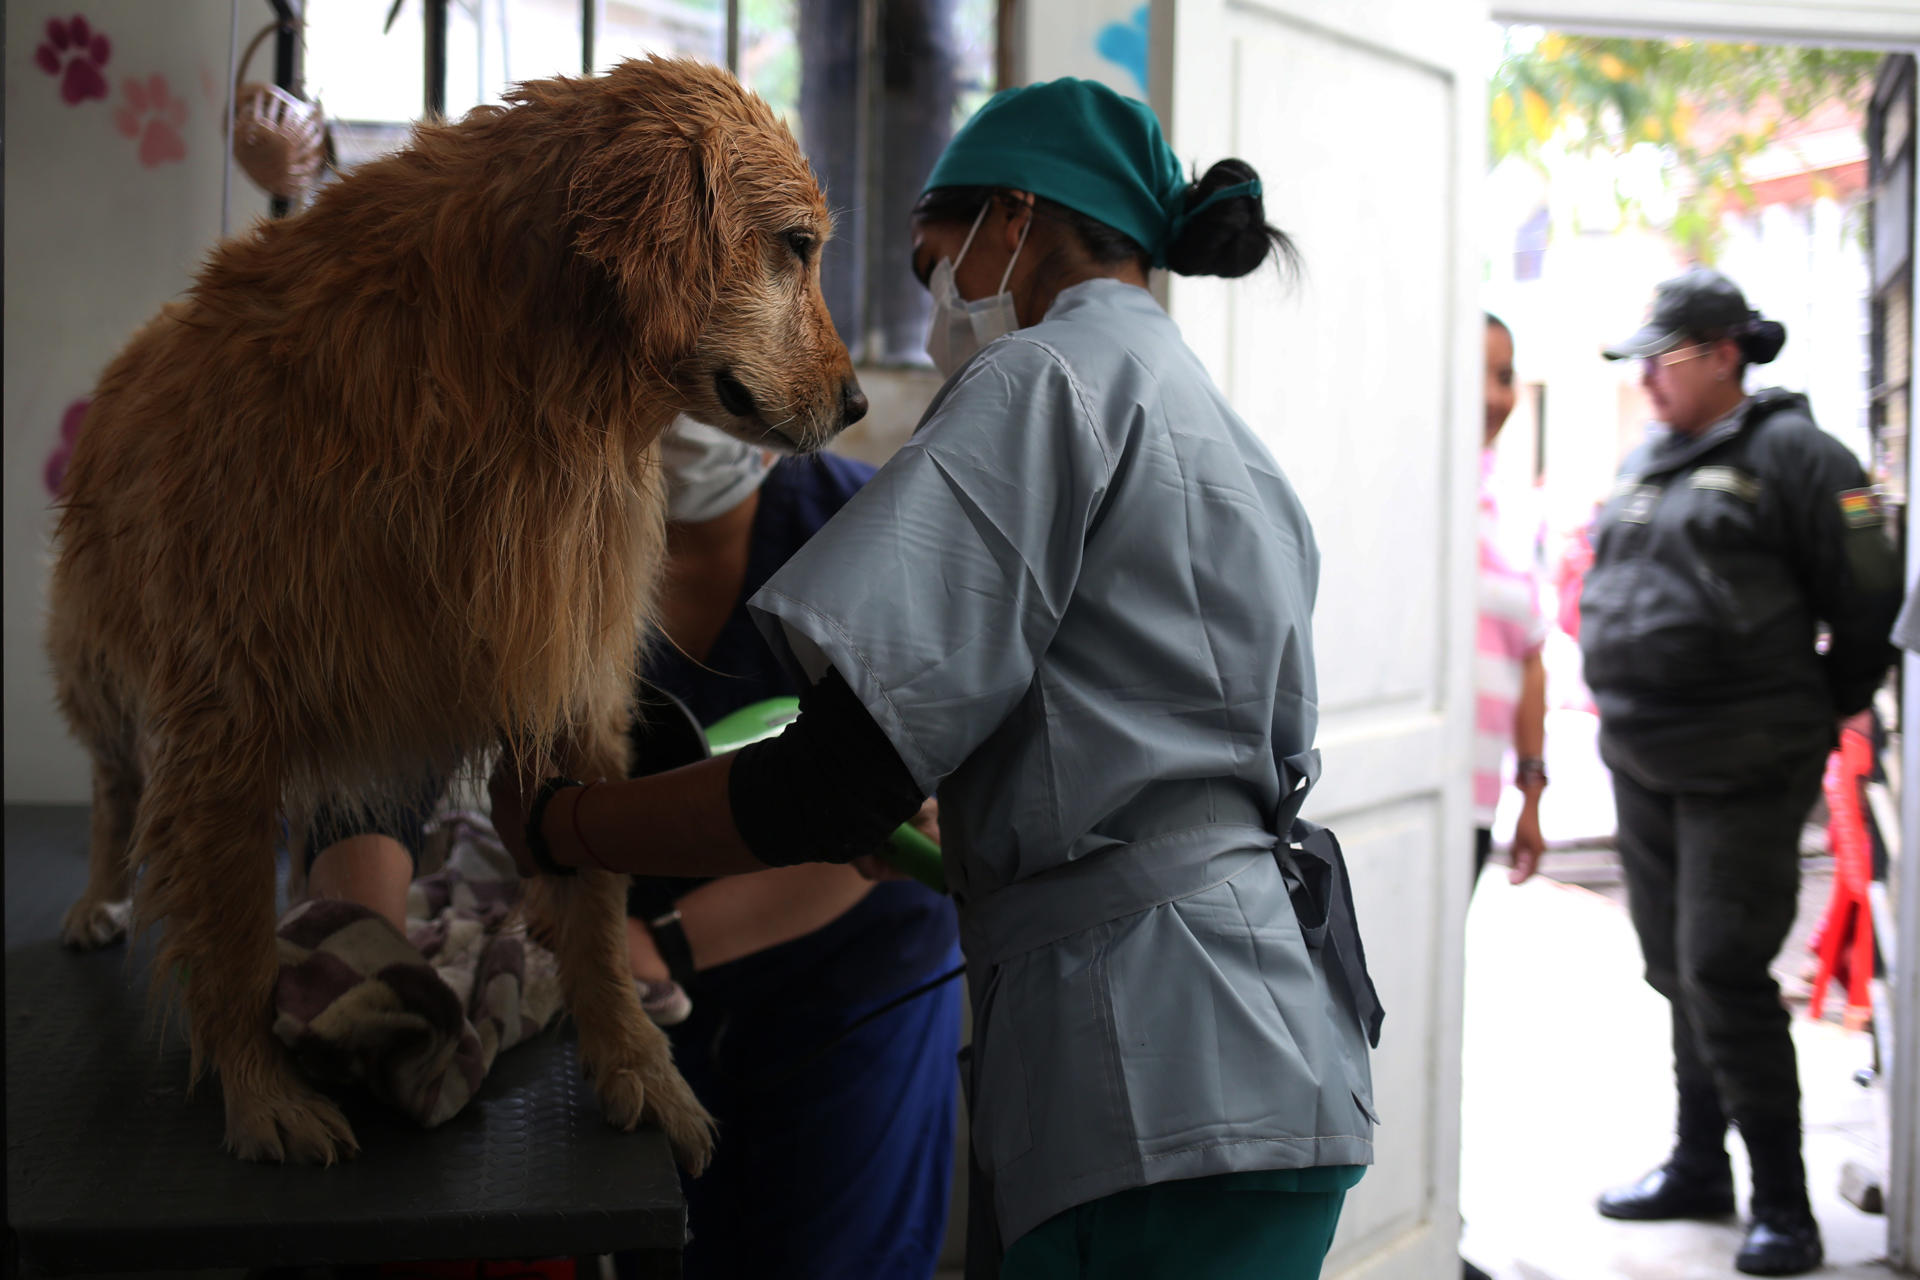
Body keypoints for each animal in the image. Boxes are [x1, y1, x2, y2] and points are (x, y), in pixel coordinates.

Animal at [43, 55, 864, 1166]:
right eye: (798, 245)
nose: (860, 405)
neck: (511, 391)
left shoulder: (570, 676)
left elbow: (592, 893)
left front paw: (635, 1059)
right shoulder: (227, 713)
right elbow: (233, 937)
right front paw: (262, 1090)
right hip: (103, 670)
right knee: (114, 790)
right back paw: (98, 898)